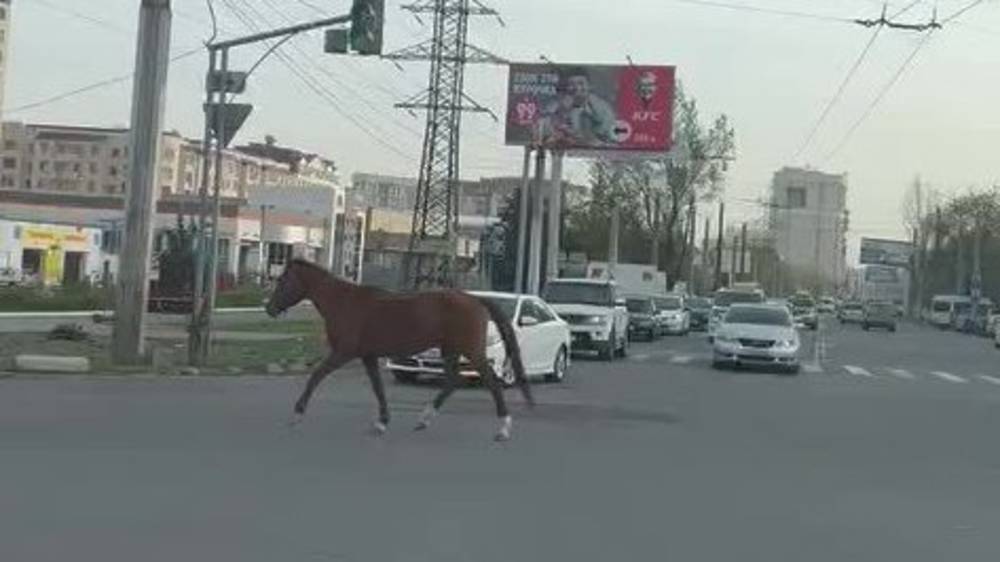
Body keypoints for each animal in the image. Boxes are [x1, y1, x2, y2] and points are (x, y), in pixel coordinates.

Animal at [264, 258, 532, 438]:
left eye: (283, 280)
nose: (269, 309)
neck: (344, 302)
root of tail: (476, 299)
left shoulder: (344, 352)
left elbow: (316, 376)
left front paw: (296, 415)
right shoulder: (368, 356)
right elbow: (378, 388)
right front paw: (382, 422)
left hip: (471, 350)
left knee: (491, 382)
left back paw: (503, 429)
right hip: (450, 350)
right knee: (451, 382)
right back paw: (423, 420)